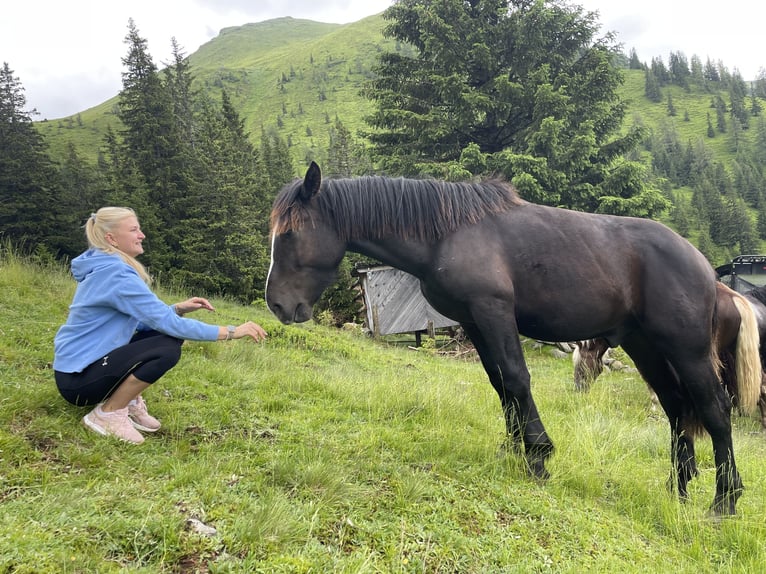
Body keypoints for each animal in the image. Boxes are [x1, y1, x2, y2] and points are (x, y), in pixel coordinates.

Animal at [266, 163, 760, 516]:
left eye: (289, 233)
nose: (276, 304)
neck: (449, 234)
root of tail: (705, 269)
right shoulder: (475, 321)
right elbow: (500, 383)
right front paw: (513, 449)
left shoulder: (494, 312)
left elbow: (517, 378)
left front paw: (538, 457)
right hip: (646, 349)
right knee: (677, 409)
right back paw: (678, 491)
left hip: (687, 351)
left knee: (714, 409)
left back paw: (725, 501)